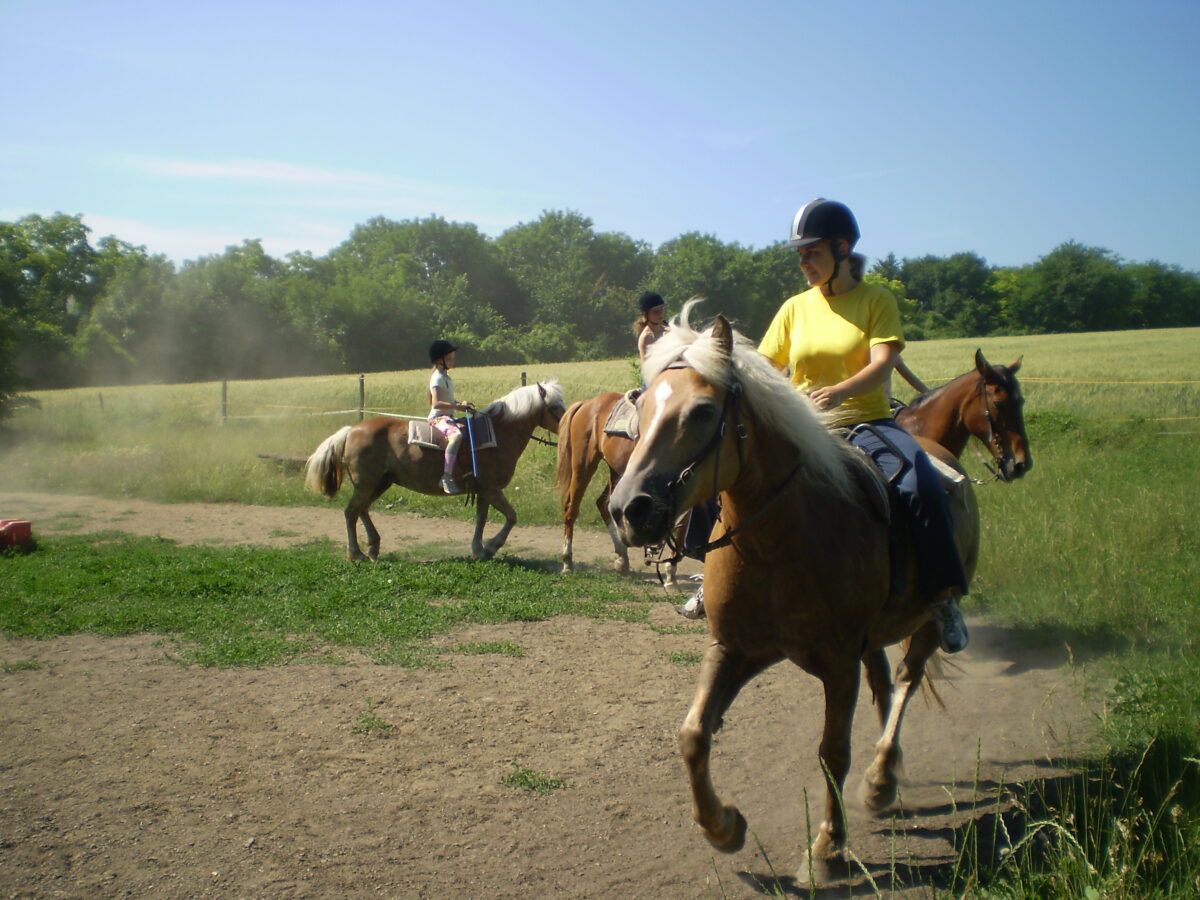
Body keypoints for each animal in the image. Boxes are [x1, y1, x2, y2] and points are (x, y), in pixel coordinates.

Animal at [302, 381, 564, 564]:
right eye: (553, 407)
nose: (567, 422)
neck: (498, 434)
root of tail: (352, 430)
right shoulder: (492, 490)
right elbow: (511, 517)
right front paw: (491, 546)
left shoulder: (483, 491)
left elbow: (481, 519)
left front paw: (479, 549)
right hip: (367, 484)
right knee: (350, 512)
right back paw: (356, 553)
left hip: (380, 483)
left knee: (361, 510)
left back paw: (374, 547)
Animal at [614, 304, 979, 888]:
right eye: (643, 408)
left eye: (702, 411)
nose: (629, 509)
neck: (777, 541)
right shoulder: (735, 649)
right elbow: (693, 734)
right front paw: (723, 827)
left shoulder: (836, 662)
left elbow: (833, 751)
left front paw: (826, 850)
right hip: (869, 642)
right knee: (885, 684)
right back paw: (887, 782)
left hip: (922, 624)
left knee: (906, 682)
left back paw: (882, 775)